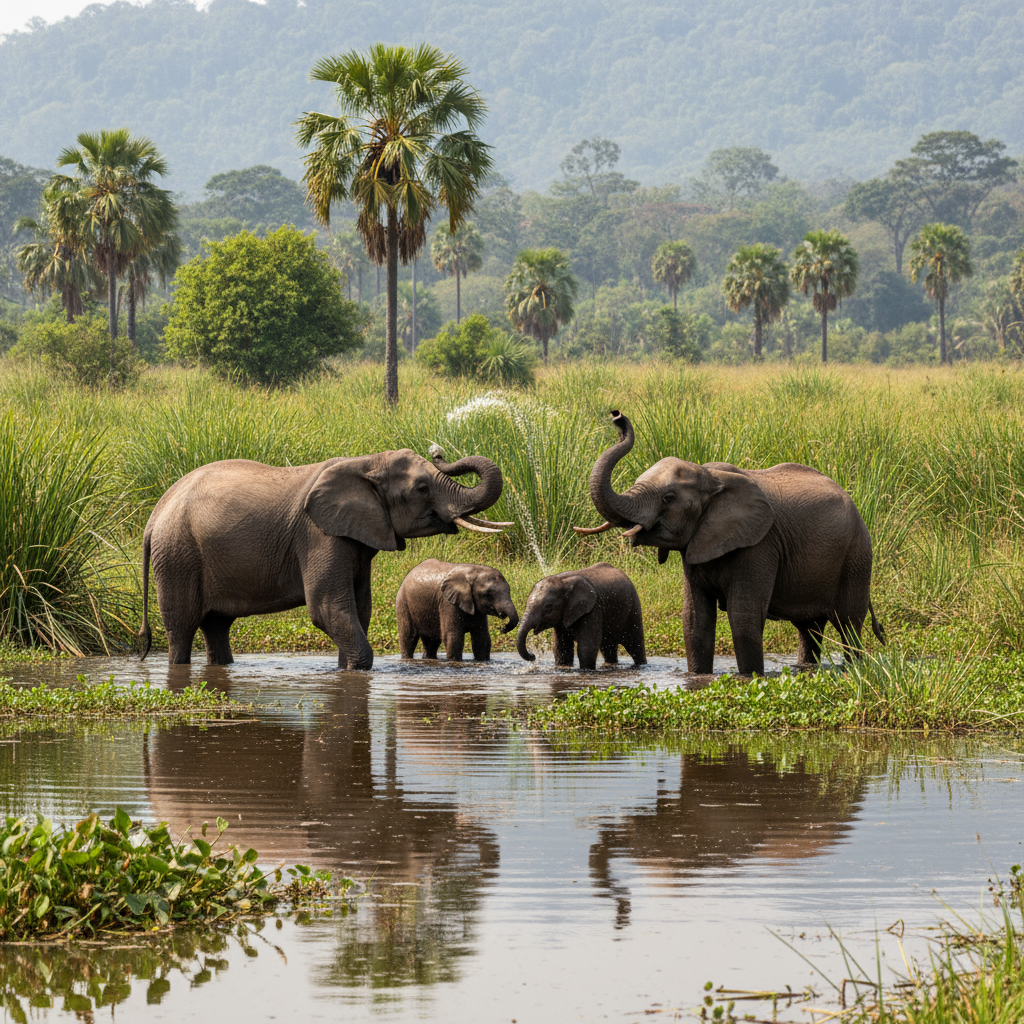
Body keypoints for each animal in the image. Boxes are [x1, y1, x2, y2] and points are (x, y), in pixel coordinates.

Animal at [138, 446, 511, 669]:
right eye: (422, 489)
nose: (437, 450)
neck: (366, 462)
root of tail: (155, 515)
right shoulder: (319, 535)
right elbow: (328, 608)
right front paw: (356, 668)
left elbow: (359, 610)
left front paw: (343, 669)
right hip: (177, 556)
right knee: (182, 627)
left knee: (216, 625)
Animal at [516, 562, 646, 670]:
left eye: (549, 607)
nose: (533, 656)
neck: (563, 581)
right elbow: (561, 648)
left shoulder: (593, 608)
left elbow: (586, 648)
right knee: (608, 648)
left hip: (633, 609)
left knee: (635, 645)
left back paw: (641, 665)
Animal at [575, 411, 884, 676]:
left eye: (668, 498)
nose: (617, 416)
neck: (711, 477)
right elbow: (695, 620)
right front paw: (698, 677)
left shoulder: (759, 544)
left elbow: (743, 617)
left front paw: (749, 678)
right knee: (809, 630)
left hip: (857, 556)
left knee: (848, 625)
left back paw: (854, 670)